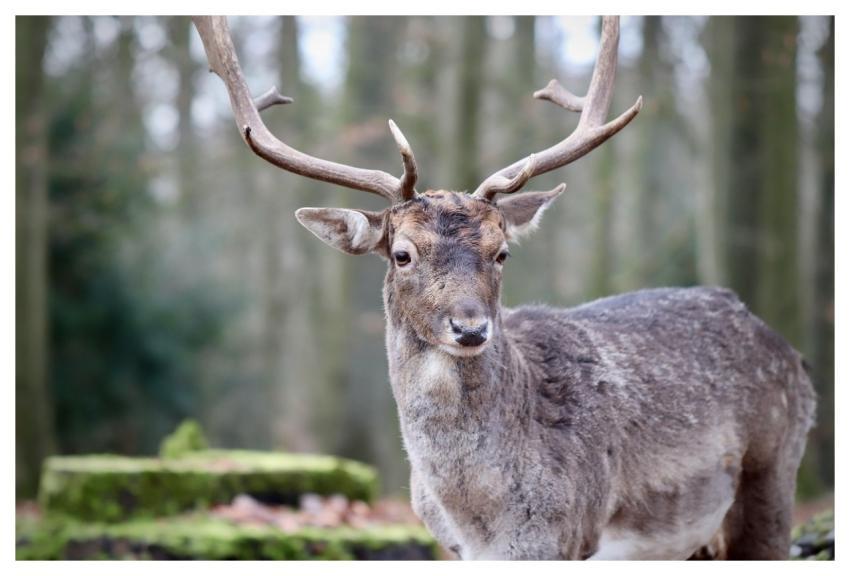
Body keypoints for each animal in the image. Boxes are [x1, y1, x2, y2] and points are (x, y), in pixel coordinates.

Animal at [193, 16, 816, 560]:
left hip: (773, 472)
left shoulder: (571, 535)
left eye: (502, 252)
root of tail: (791, 352)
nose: (470, 328)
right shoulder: (453, 546)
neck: (485, 519)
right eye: (402, 254)